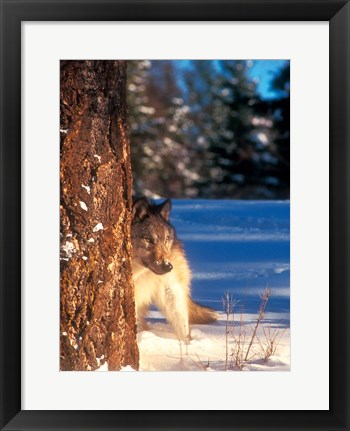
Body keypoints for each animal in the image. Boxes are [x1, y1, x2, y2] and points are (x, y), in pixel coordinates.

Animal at [131, 197, 217, 342]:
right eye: (148, 239)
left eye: (166, 239)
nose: (168, 266)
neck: (140, 273)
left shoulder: (170, 288)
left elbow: (182, 326)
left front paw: (186, 345)